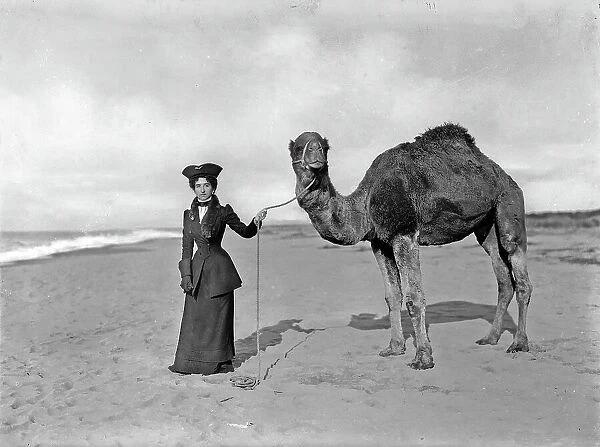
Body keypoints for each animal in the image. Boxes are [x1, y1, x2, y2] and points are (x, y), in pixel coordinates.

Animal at [290, 123, 536, 372]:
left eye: (325, 146)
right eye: (298, 147)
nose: (316, 153)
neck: (365, 204)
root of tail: (504, 175)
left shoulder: (404, 234)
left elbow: (414, 297)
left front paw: (423, 358)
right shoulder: (380, 243)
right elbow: (392, 296)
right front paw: (394, 348)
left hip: (509, 202)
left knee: (517, 265)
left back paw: (519, 343)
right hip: (486, 225)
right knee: (502, 276)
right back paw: (490, 338)